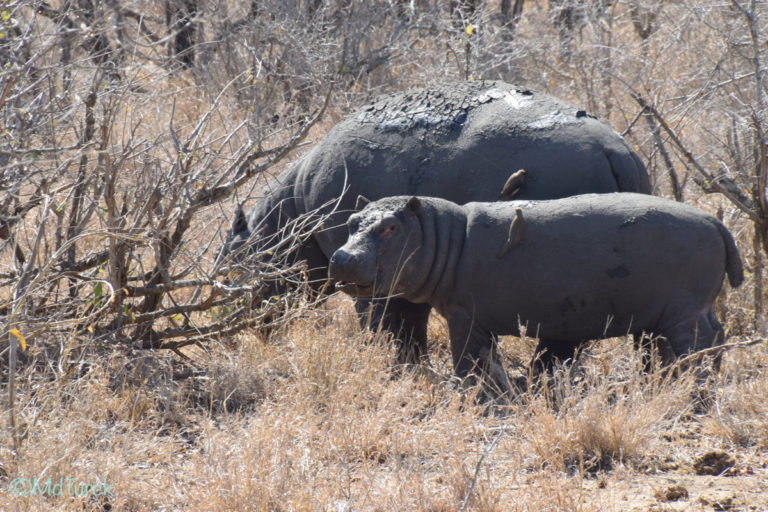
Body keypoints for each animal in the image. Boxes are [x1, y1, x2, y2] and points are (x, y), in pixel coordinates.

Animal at [222, 79, 648, 360]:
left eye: (229, 265)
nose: (226, 329)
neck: (290, 219)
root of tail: (615, 150)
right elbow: (409, 329)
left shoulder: (372, 285)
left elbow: (384, 328)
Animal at [328, 194, 744, 390]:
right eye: (351, 221)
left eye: (390, 227)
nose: (341, 257)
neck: (444, 235)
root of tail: (715, 223)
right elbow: (488, 359)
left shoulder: (464, 315)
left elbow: (466, 359)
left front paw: (465, 390)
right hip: (680, 312)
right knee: (711, 336)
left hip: (684, 313)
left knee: (700, 344)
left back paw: (695, 391)